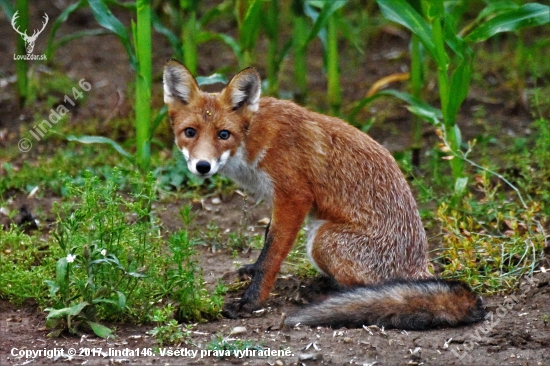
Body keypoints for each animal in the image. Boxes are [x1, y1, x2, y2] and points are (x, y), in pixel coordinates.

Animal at [164, 59, 488, 328]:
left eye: (223, 134)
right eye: (190, 132)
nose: (202, 166)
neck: (251, 140)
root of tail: (420, 268)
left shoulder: (294, 196)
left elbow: (272, 255)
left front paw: (251, 301)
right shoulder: (278, 199)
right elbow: (267, 242)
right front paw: (252, 271)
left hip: (322, 238)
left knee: (370, 288)